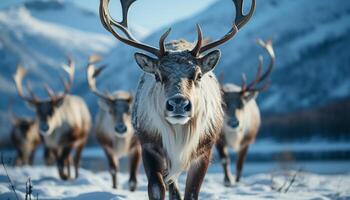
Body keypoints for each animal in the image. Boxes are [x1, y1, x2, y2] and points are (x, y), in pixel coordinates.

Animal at [86, 55, 141, 191]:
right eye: (110, 111)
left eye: (130, 110)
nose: (121, 128)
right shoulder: (106, 145)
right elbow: (113, 170)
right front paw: (114, 188)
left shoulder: (137, 145)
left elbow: (133, 178)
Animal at [100, 0, 256, 198]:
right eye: (158, 75)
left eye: (198, 75)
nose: (179, 104)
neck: (179, 136)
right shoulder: (148, 146)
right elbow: (158, 189)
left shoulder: (204, 150)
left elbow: (192, 192)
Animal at [217, 39, 274, 186]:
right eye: (223, 105)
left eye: (241, 105)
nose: (234, 123)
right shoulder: (218, 139)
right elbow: (224, 160)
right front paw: (228, 181)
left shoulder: (248, 140)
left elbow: (240, 165)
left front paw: (237, 181)